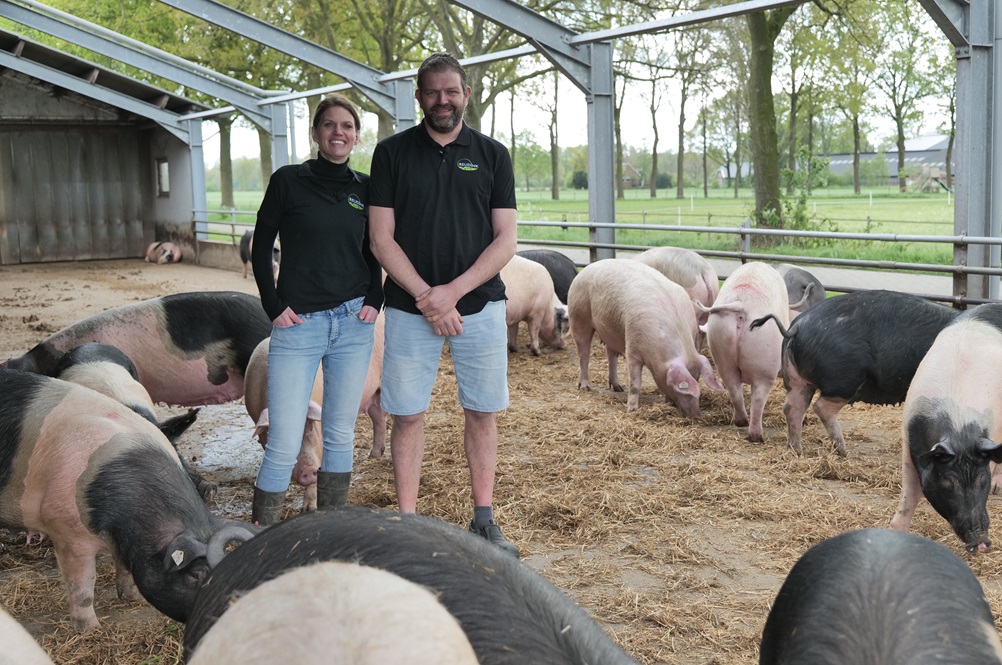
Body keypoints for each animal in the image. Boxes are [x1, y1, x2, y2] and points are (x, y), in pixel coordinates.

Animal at [0, 370, 256, 632]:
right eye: (197, 574)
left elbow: (123, 565)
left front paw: (132, 597)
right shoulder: (66, 531)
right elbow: (82, 583)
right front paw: (91, 630)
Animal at [893, 304, 1002, 552]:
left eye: (981, 478)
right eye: (948, 480)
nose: (981, 542)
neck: (958, 425)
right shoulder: (908, 442)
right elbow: (909, 495)